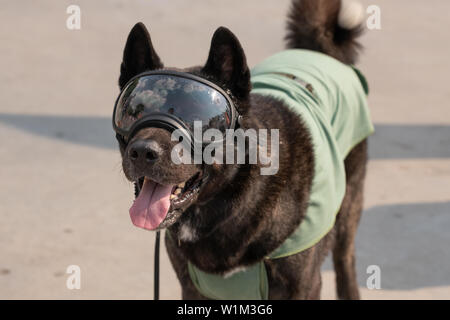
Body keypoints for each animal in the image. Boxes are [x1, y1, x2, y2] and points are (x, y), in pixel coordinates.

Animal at [115, 0, 372, 300]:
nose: (143, 152)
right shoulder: (191, 288)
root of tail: (316, 52)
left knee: (345, 264)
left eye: (197, 116)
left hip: (347, 213)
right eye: (133, 111)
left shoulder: (304, 286)